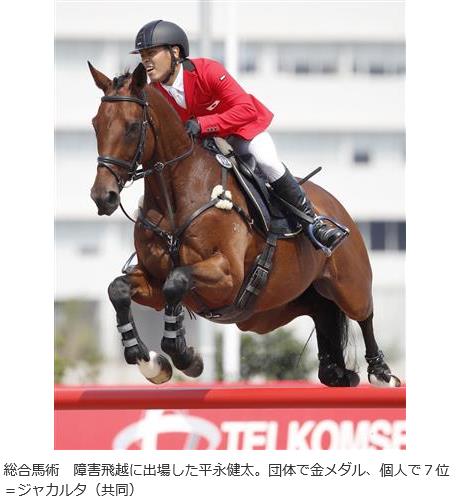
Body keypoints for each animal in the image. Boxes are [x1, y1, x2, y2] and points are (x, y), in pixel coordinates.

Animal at [88, 61, 401, 388]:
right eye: (96, 124)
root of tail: (336, 208)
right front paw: (150, 361)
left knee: (364, 312)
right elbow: (119, 289)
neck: (175, 199)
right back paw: (337, 372)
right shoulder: (154, 282)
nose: (103, 197)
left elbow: (178, 279)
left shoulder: (227, 275)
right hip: (272, 311)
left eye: (131, 127)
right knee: (322, 313)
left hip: (348, 283)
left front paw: (186, 357)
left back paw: (381, 373)